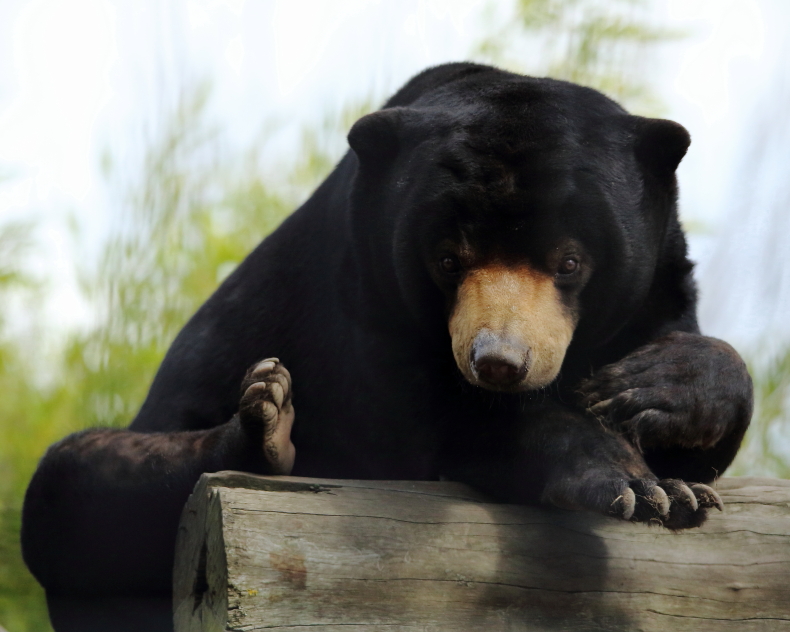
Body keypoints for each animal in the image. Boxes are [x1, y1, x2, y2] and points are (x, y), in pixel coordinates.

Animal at [22, 63, 753, 632]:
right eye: (448, 259)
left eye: (569, 262)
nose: (499, 363)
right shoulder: (361, 293)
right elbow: (426, 430)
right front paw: (634, 485)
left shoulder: (657, 286)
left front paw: (656, 406)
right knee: (70, 489)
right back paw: (266, 425)